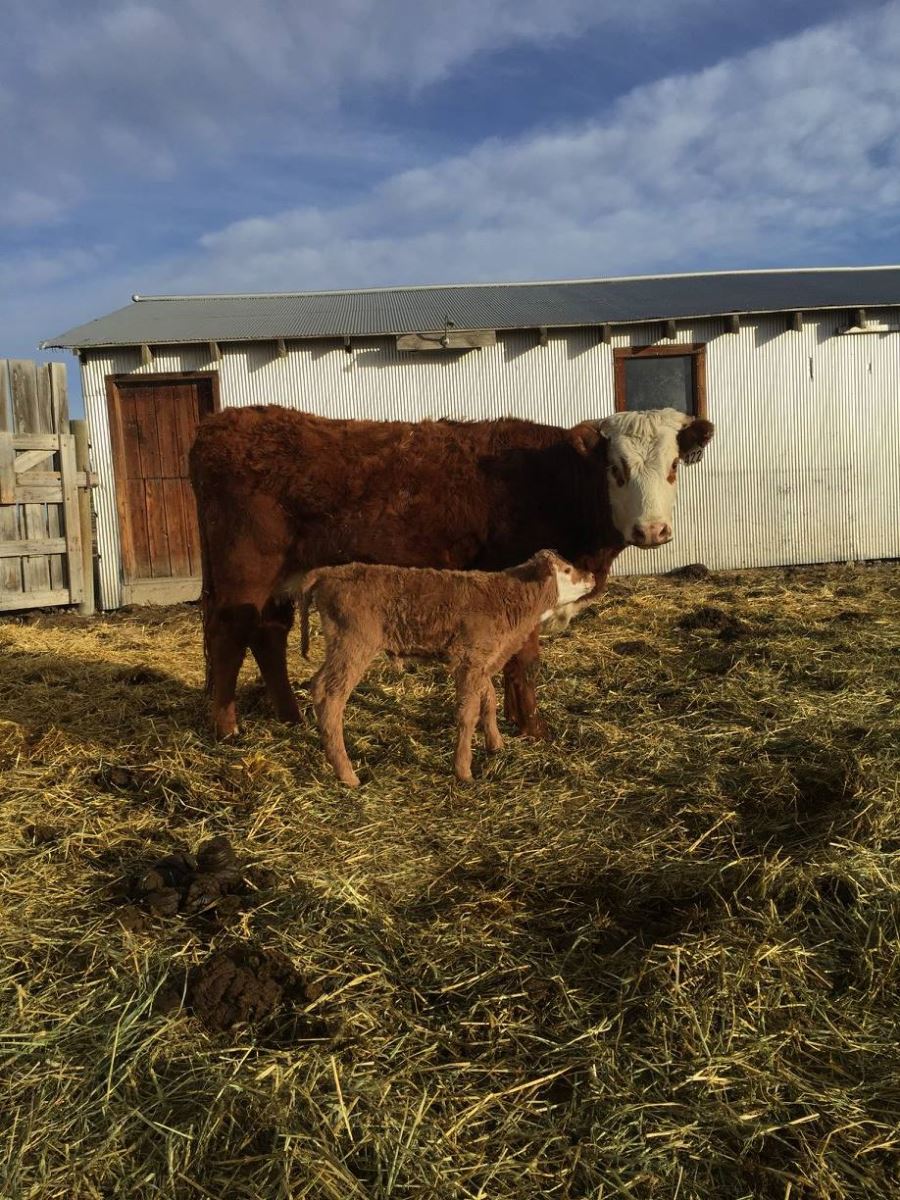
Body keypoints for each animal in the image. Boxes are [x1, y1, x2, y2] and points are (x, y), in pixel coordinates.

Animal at [188, 403, 710, 739]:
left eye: (673, 465)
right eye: (617, 468)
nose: (652, 530)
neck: (559, 480)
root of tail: (222, 421)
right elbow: (525, 660)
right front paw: (533, 729)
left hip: (279, 577)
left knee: (268, 635)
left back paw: (290, 717)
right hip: (245, 572)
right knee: (229, 634)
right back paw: (227, 728)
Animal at [292, 547, 595, 787]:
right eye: (568, 569)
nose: (592, 577)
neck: (510, 598)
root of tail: (329, 572)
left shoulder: (481, 663)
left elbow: (489, 700)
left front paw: (496, 744)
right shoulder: (469, 659)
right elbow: (468, 713)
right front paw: (463, 770)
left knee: (318, 686)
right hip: (353, 646)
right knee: (330, 696)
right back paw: (347, 774)